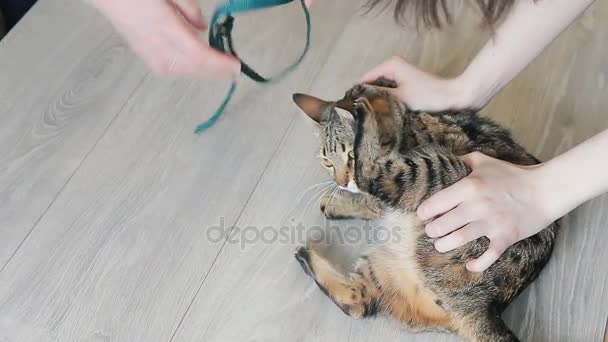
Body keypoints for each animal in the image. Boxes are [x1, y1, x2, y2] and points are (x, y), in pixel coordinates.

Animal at [292, 81, 560, 342]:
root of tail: (485, 305)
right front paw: (336, 200)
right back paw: (305, 254)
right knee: (359, 300)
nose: (341, 182)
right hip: (387, 271)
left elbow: (368, 195)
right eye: (327, 162)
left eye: (350, 155)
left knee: (374, 174)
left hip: (441, 170)